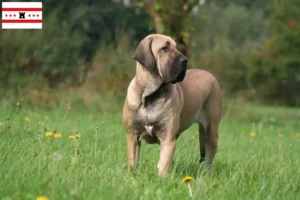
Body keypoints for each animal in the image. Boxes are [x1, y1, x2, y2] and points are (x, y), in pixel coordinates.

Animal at [122, 33, 223, 176]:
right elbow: (133, 162)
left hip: (211, 131)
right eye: (165, 48)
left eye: (176, 47)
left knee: (209, 158)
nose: (185, 60)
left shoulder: (168, 139)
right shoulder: (132, 135)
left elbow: (164, 165)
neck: (150, 95)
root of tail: (210, 75)